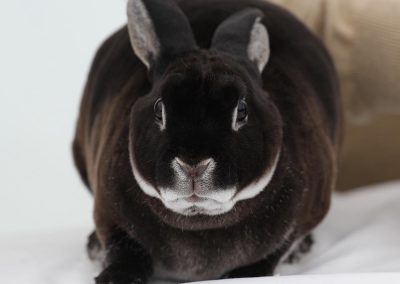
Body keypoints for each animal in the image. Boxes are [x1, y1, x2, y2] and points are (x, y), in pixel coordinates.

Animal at [72, 0, 340, 282]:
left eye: (241, 111)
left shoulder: (303, 216)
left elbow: (272, 254)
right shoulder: (108, 213)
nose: (193, 165)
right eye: (159, 110)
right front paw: (114, 276)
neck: (199, 219)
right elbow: (124, 251)